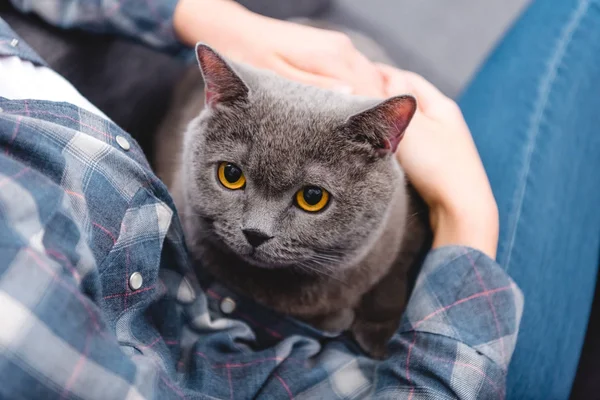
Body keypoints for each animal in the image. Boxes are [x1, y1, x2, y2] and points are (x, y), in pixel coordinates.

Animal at [154, 42, 426, 358]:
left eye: (313, 197)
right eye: (231, 174)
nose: (255, 233)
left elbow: (392, 280)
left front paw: (379, 334)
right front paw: (338, 320)